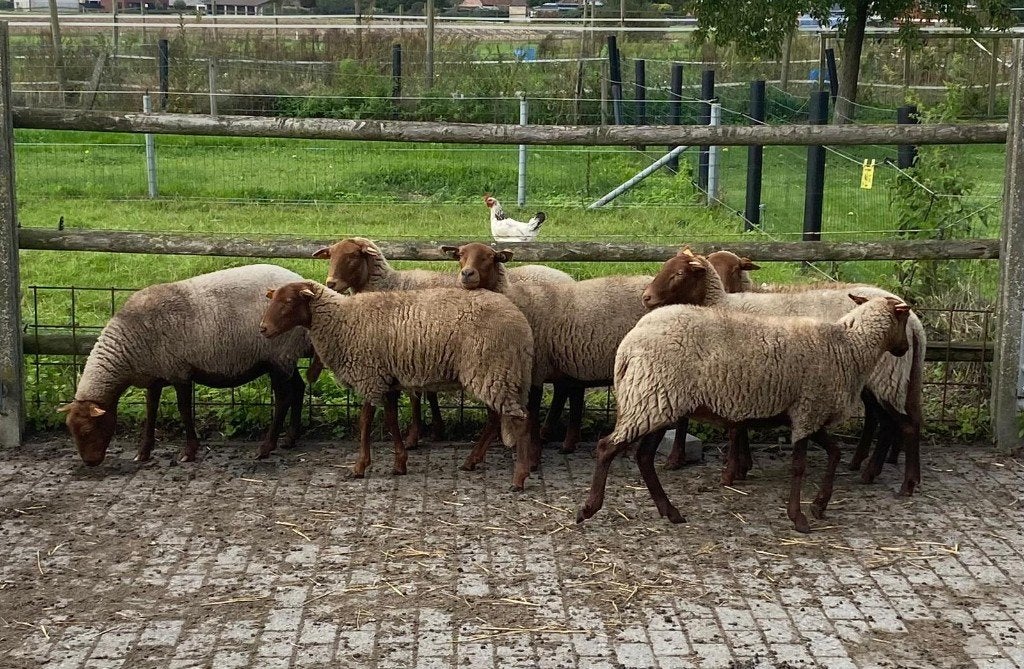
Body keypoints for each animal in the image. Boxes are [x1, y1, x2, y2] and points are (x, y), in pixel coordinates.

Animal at [59, 264, 310, 466]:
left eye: (88, 430)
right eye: (70, 429)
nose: (90, 463)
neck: (127, 347)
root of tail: (301, 280)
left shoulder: (179, 371)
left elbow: (184, 410)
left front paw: (189, 452)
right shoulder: (155, 376)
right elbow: (151, 410)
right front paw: (143, 452)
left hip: (278, 355)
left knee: (283, 398)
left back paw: (266, 448)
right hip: (287, 357)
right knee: (299, 388)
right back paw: (290, 439)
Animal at [259, 282, 537, 489]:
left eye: (288, 302)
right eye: (273, 300)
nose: (263, 329)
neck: (342, 320)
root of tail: (522, 324)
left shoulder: (369, 376)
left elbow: (365, 422)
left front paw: (359, 467)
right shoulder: (387, 379)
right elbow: (391, 420)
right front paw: (399, 463)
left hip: (492, 368)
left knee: (520, 420)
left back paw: (519, 477)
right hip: (495, 373)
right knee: (495, 418)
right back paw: (472, 461)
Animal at [312, 237, 572, 449]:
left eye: (353, 256)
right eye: (331, 254)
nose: (331, 283)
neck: (390, 283)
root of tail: (567, 276)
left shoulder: (412, 349)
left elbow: (417, 397)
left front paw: (414, 437)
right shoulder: (420, 349)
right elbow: (427, 394)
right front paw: (436, 429)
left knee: (562, 388)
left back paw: (549, 433)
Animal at [576, 294, 912, 533]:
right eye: (905, 319)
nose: (905, 349)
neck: (848, 348)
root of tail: (628, 344)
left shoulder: (809, 415)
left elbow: (835, 453)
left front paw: (819, 505)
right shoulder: (808, 410)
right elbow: (800, 467)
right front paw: (799, 517)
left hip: (657, 400)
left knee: (644, 458)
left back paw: (670, 512)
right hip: (651, 397)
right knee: (607, 447)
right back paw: (589, 509)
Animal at [643, 249, 926, 497]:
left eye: (679, 273)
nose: (646, 297)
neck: (723, 302)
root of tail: (914, 323)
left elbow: (733, 427)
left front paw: (732, 471)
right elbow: (739, 424)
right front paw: (743, 466)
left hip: (886, 377)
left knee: (900, 423)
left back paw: (900, 482)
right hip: (885, 377)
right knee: (886, 419)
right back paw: (867, 468)